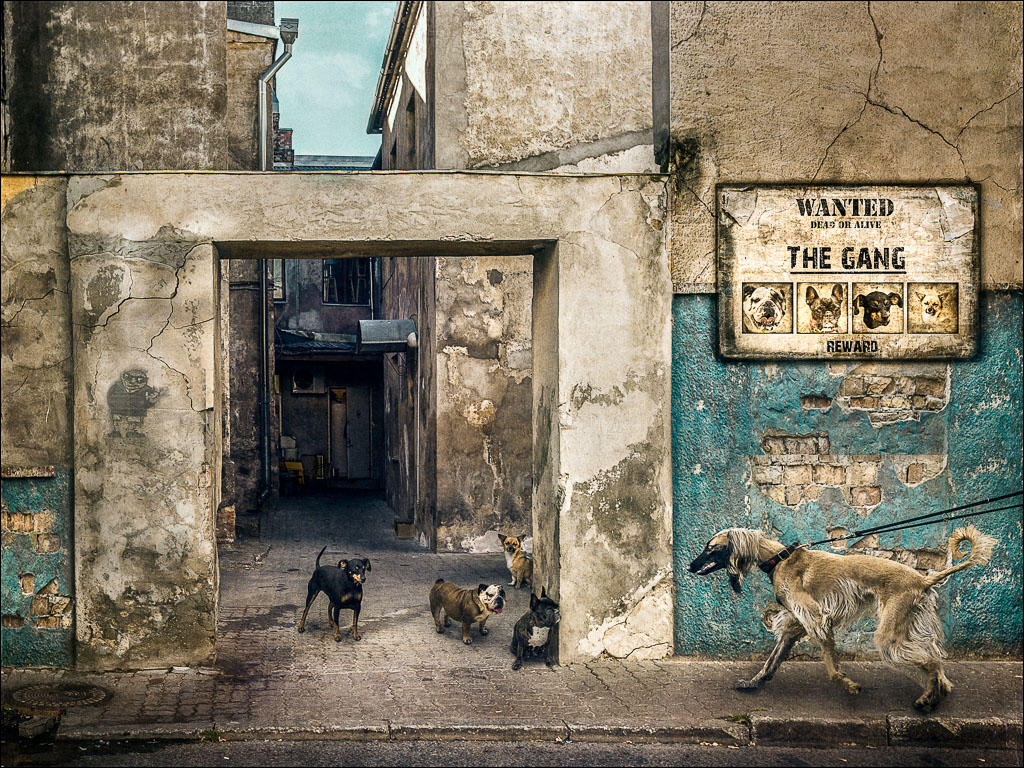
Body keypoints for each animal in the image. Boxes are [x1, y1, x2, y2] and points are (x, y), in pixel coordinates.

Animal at [688, 525, 996, 712]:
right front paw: (753, 683)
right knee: (936, 663)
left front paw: (849, 685)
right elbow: (771, 662)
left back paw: (927, 698)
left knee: (932, 662)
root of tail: (923, 578)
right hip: (909, 625)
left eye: (711, 547)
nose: (690, 567)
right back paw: (936, 694)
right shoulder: (795, 624)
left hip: (889, 634)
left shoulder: (817, 620)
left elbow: (832, 669)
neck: (779, 559)